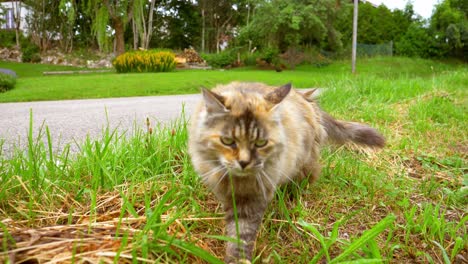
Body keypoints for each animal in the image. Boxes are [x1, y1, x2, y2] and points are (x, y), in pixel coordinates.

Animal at [188, 81, 386, 262]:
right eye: (228, 141)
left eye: (261, 143)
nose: (244, 162)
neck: (239, 182)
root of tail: (307, 98)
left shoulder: (255, 196)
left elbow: (242, 234)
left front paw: (239, 258)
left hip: (303, 164)